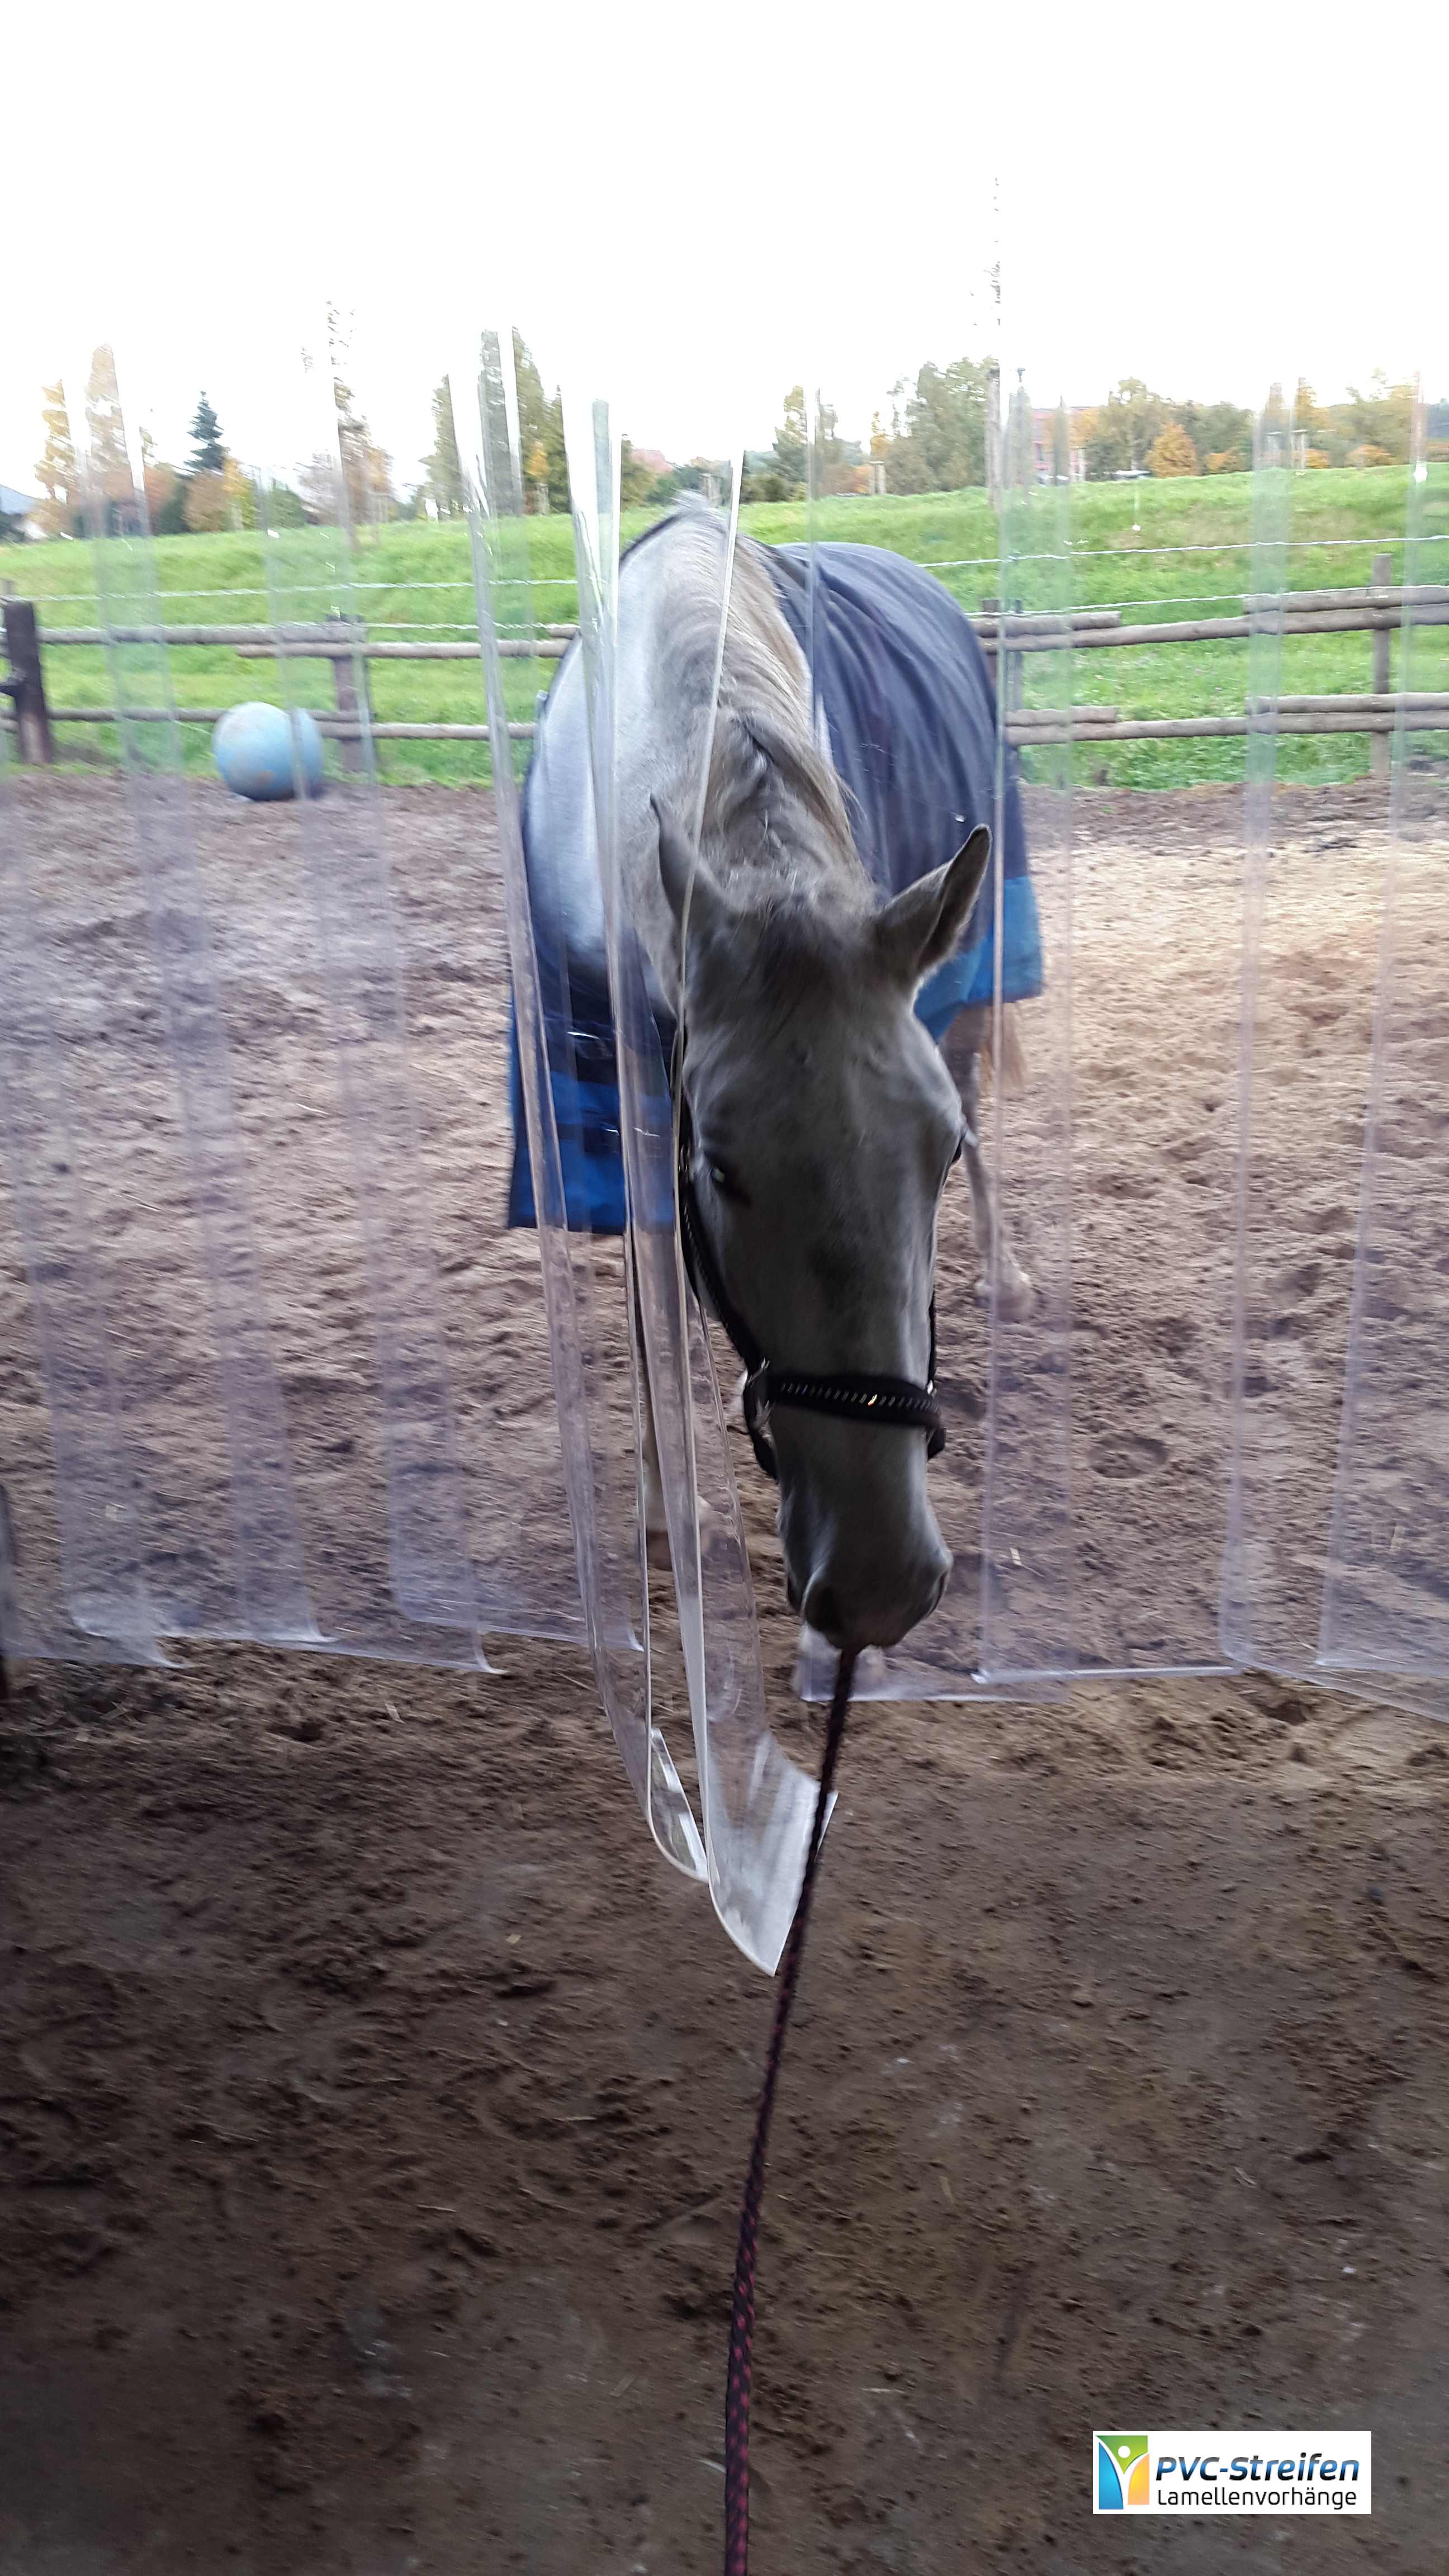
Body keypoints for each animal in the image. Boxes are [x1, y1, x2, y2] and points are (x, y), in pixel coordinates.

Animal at [508, 504, 1042, 1654]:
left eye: (937, 1160)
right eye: (722, 1167)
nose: (883, 1582)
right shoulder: (621, 1108)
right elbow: (653, 1306)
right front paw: (671, 1509)